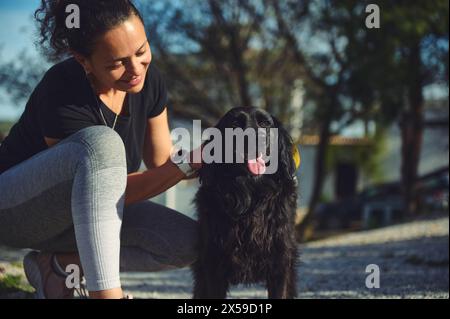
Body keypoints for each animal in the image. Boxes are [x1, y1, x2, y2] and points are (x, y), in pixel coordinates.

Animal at [191, 107, 298, 300]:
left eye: (265, 123)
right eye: (235, 123)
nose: (258, 139)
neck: (251, 195)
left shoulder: (281, 261)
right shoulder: (212, 263)